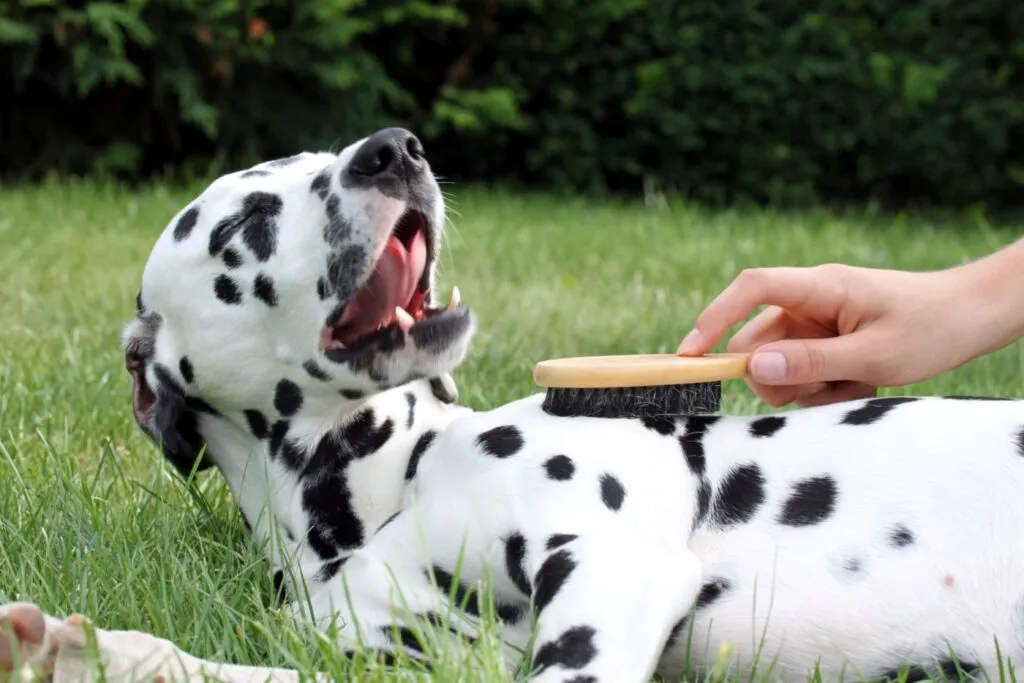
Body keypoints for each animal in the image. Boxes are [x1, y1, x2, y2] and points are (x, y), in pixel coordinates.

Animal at [6, 129, 1024, 683]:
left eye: (322, 160)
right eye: (246, 221)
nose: (395, 149)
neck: (393, 486)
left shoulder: (618, 566)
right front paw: (78, 647)